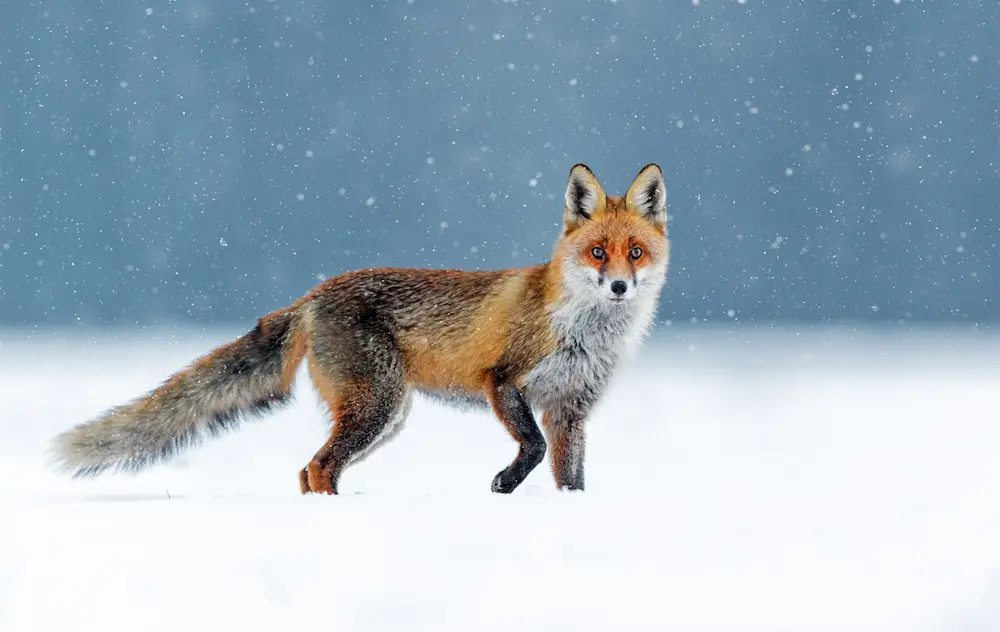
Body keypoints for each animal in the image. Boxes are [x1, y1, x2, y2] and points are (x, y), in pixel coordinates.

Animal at [50, 163, 670, 494]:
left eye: (635, 253)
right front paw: (504, 483)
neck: (583, 332)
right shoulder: (503, 380)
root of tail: (312, 296)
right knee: (317, 467)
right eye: (597, 253)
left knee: (308, 472)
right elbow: (533, 447)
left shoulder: (571, 408)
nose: (619, 287)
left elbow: (571, 476)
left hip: (385, 417)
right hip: (377, 406)